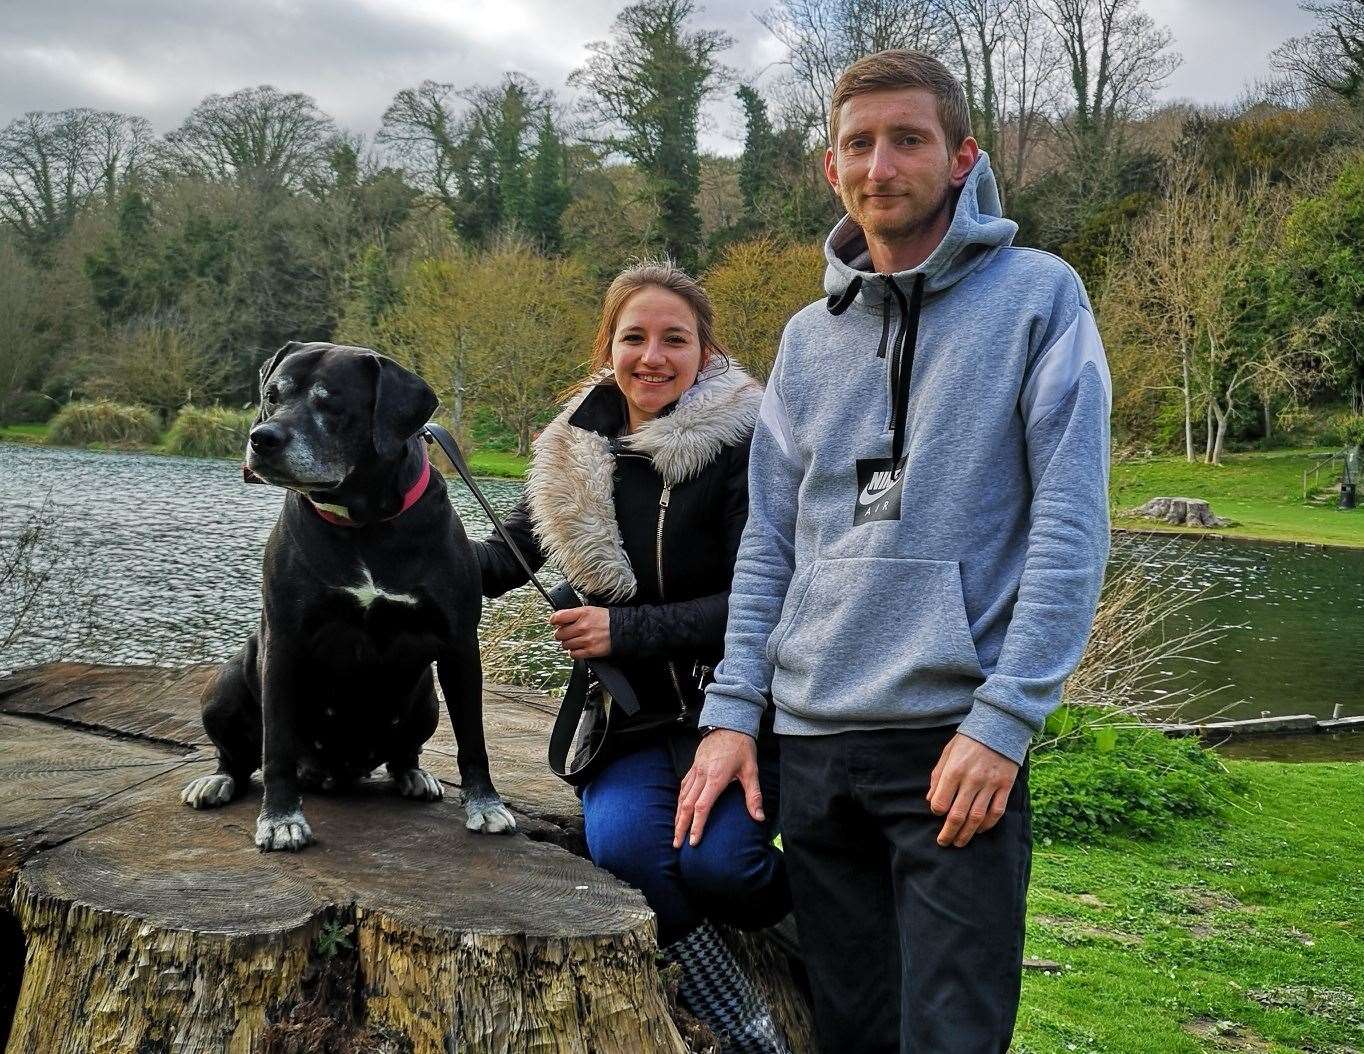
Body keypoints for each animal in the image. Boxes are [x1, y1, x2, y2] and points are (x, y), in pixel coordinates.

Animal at [184, 340, 512, 850]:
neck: (364, 522)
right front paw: (280, 817)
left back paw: (414, 776)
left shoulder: (459, 645)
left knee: (405, 751)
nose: (262, 438)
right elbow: (276, 745)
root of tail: (335, 774)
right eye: (272, 396)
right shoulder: (283, 643)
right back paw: (218, 780)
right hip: (227, 684)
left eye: (331, 403)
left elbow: (472, 737)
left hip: (426, 701)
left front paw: (485, 804)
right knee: (237, 755)